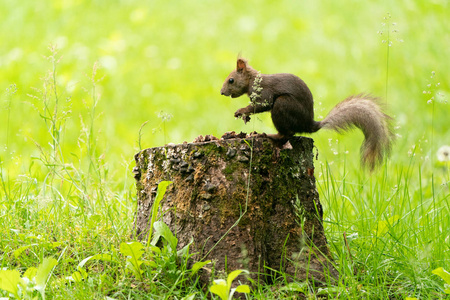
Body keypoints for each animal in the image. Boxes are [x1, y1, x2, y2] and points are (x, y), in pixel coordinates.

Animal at [221, 57, 394, 170]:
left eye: (231, 80)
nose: (222, 92)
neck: (252, 80)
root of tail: (309, 125)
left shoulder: (264, 92)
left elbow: (262, 104)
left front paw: (241, 111)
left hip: (283, 105)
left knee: (287, 134)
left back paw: (270, 135)